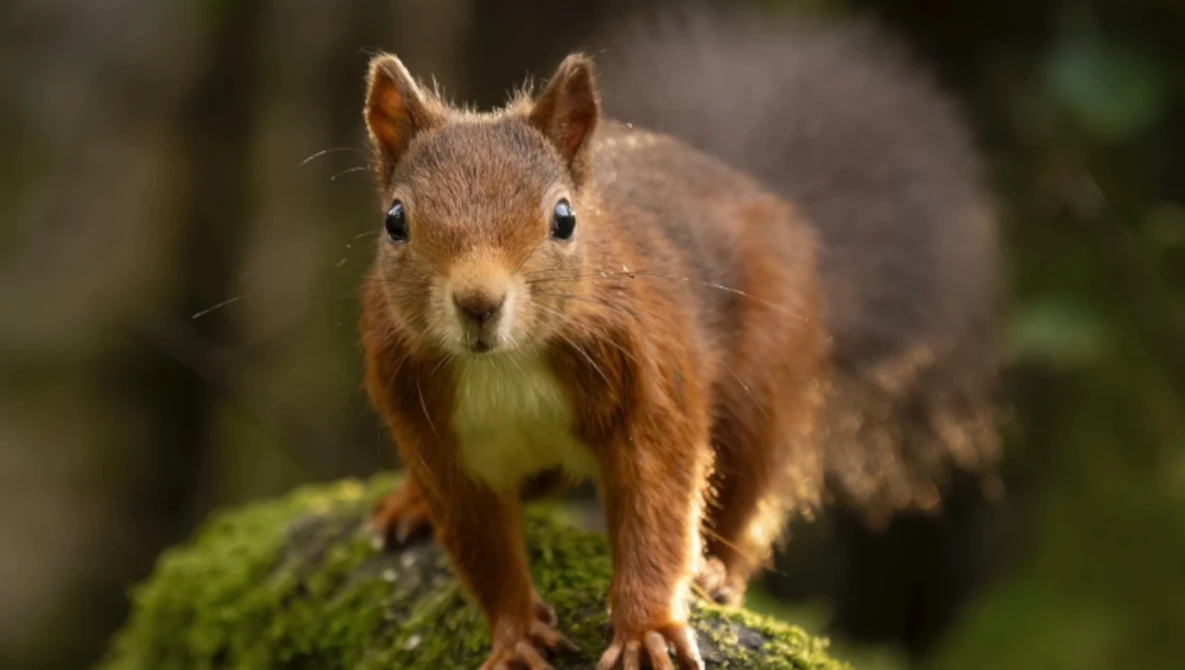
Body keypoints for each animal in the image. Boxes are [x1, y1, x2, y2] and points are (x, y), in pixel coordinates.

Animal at [358, 6, 1001, 670]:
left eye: (564, 218)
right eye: (395, 220)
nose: (479, 303)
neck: (507, 366)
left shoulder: (654, 382)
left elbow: (658, 507)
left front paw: (647, 630)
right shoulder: (436, 438)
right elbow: (479, 545)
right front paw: (515, 638)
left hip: (766, 380)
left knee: (751, 492)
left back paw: (719, 573)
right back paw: (408, 503)